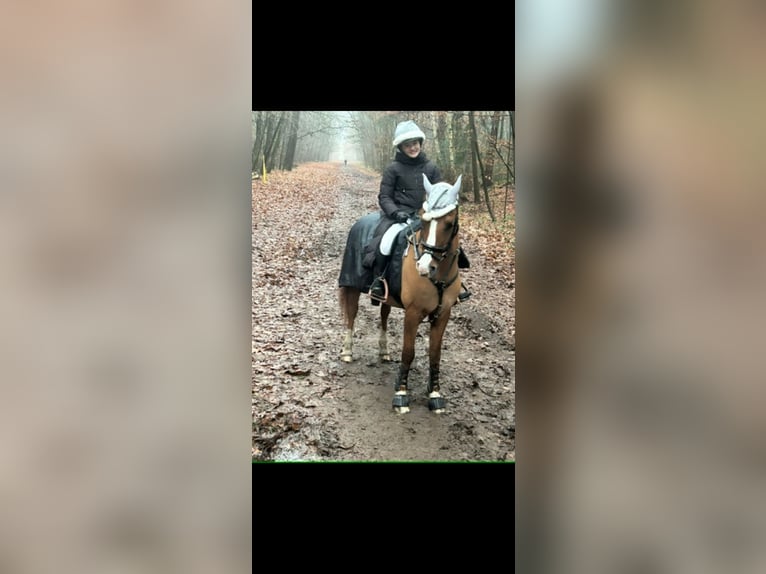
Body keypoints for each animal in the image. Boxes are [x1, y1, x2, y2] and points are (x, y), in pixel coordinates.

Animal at [338, 174, 464, 414]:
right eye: (424, 221)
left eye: (449, 223)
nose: (424, 267)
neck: (438, 277)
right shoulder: (413, 313)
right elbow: (408, 351)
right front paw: (401, 394)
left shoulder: (443, 314)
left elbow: (435, 354)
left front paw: (435, 395)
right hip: (351, 287)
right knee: (351, 316)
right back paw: (347, 352)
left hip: (387, 297)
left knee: (384, 317)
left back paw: (384, 352)